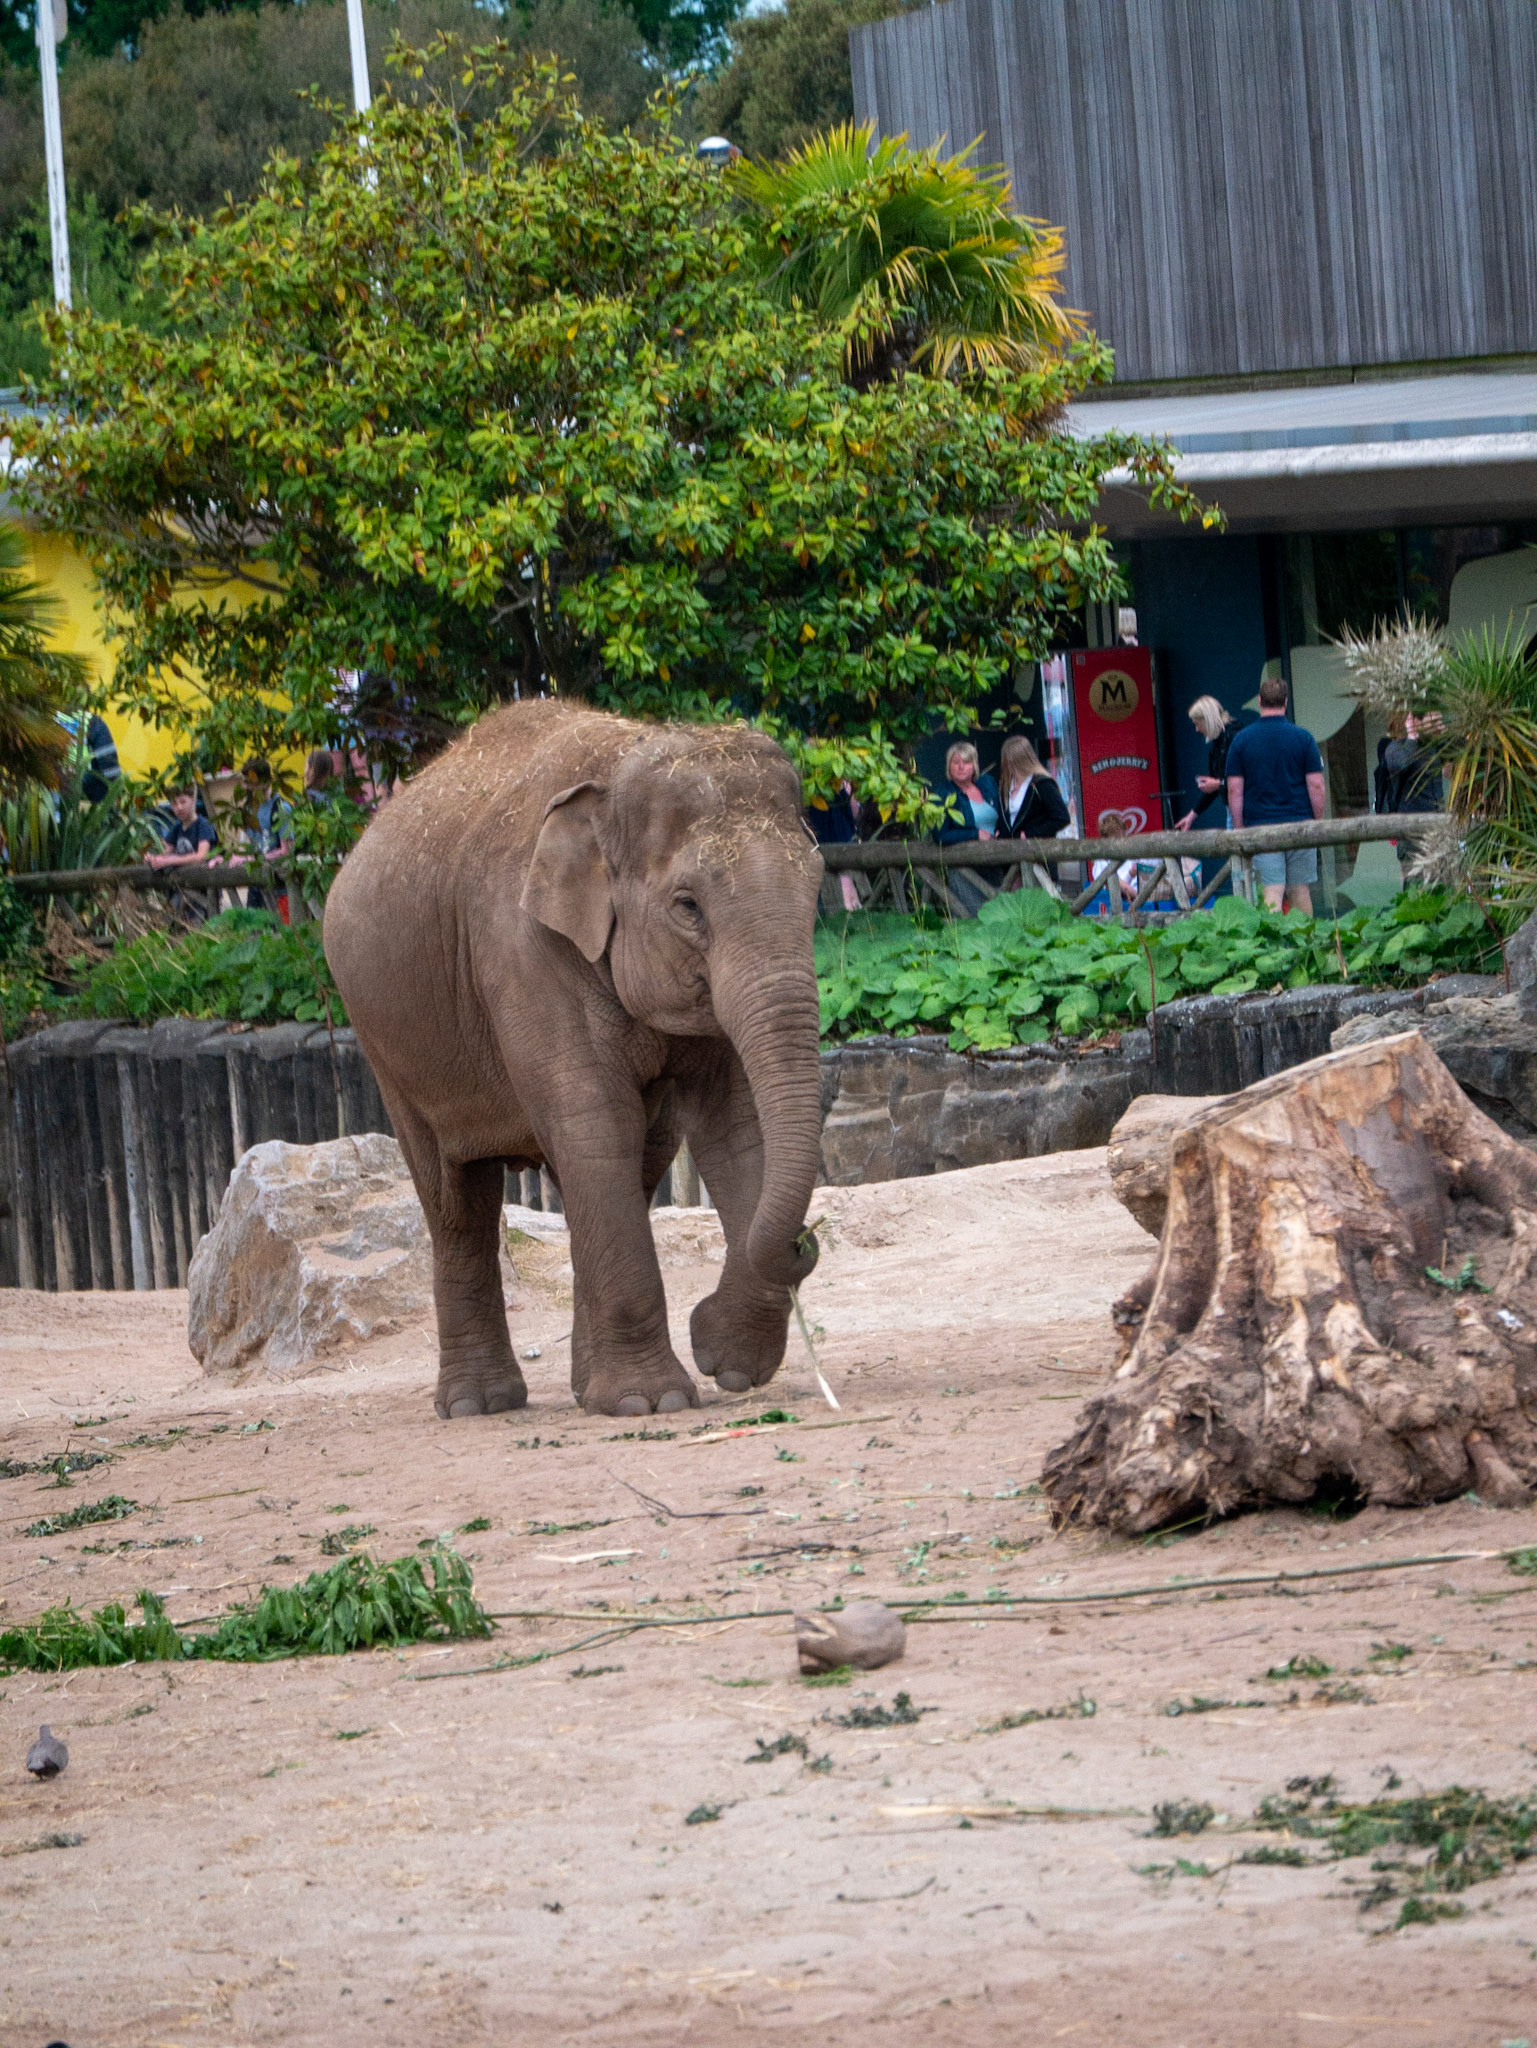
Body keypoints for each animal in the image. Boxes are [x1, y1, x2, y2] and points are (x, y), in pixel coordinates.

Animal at [323, 699, 825, 1419]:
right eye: (688, 906)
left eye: (817, 889)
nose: (808, 1240)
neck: (619, 765)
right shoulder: (521, 949)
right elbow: (594, 1122)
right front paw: (653, 1403)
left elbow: (733, 1126)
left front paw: (727, 1366)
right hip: (388, 1044)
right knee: (456, 1201)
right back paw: (479, 1406)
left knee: (624, 1169)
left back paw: (586, 1393)